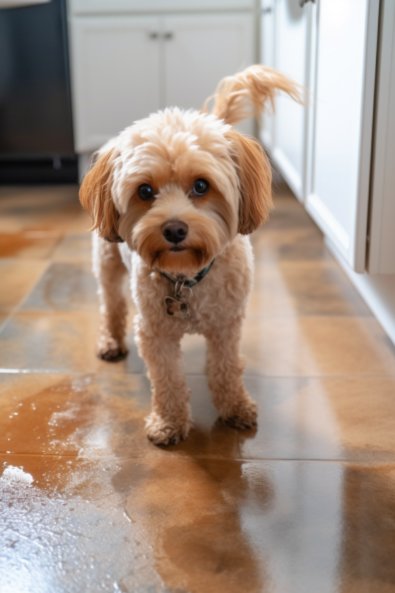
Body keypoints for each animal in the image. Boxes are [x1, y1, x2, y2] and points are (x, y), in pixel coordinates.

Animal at [80, 66, 300, 444]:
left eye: (201, 186)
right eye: (145, 191)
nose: (174, 229)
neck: (187, 277)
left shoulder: (227, 325)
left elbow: (226, 368)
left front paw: (235, 407)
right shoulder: (155, 333)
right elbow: (167, 379)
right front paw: (168, 422)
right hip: (107, 259)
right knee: (111, 303)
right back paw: (110, 340)